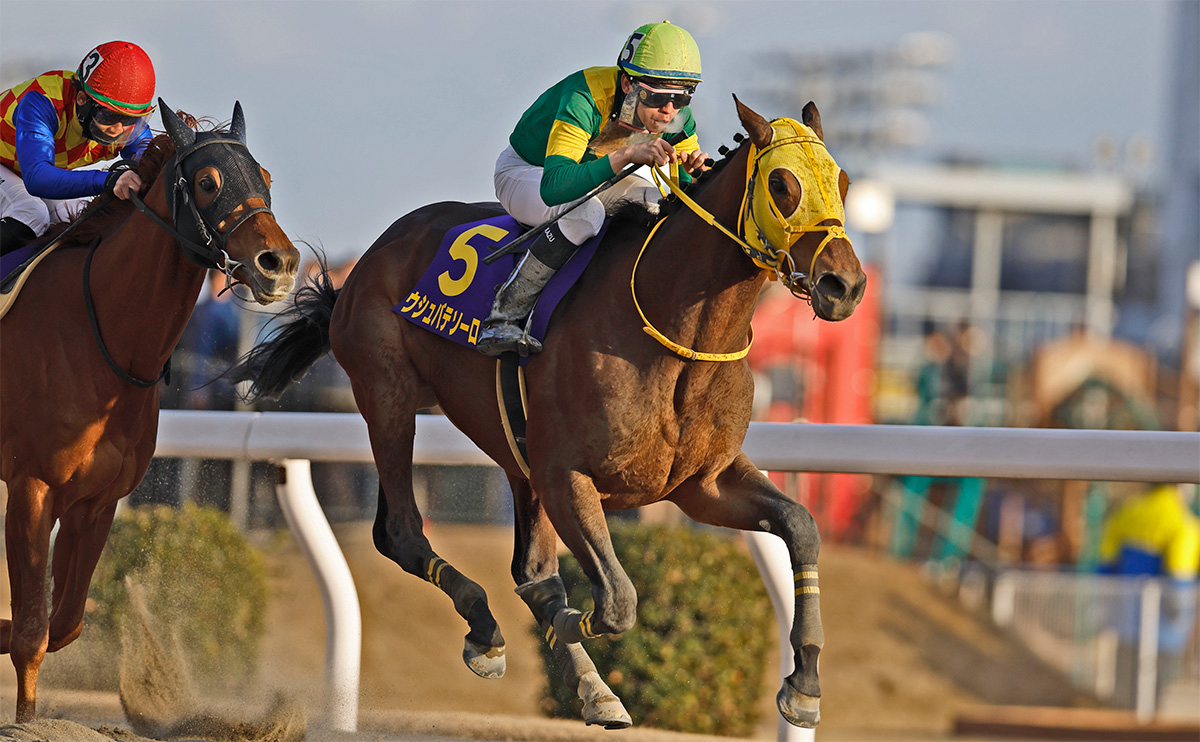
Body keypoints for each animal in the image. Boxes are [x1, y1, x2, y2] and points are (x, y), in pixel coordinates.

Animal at [0, 101, 300, 722]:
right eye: (208, 183)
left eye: (265, 178)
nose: (279, 264)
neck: (102, 336)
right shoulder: (31, 487)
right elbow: (32, 630)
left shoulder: (96, 501)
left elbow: (64, 623)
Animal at [234, 97, 864, 729]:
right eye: (782, 184)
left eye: (842, 181)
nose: (845, 284)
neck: (676, 337)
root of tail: (366, 262)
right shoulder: (566, 475)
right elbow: (616, 602)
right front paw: (563, 631)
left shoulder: (700, 484)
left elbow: (800, 526)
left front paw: (804, 684)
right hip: (388, 398)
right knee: (402, 532)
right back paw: (487, 631)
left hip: (513, 448)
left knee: (528, 569)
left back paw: (587, 685)